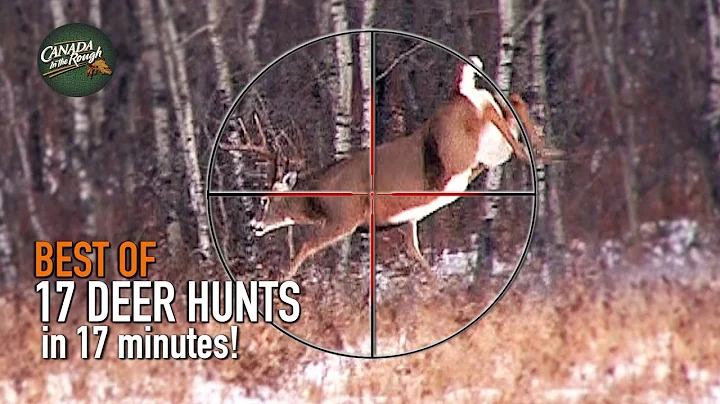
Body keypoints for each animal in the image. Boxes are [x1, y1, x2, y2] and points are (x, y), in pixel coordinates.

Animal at [238, 56, 563, 278]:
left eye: (265, 199)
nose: (253, 225)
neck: (319, 196)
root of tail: (460, 91)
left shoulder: (345, 218)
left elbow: (304, 249)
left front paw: (282, 283)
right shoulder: (405, 220)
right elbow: (413, 253)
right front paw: (439, 287)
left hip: (462, 149)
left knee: (505, 119)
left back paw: (540, 153)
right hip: (489, 149)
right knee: (513, 101)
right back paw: (550, 150)